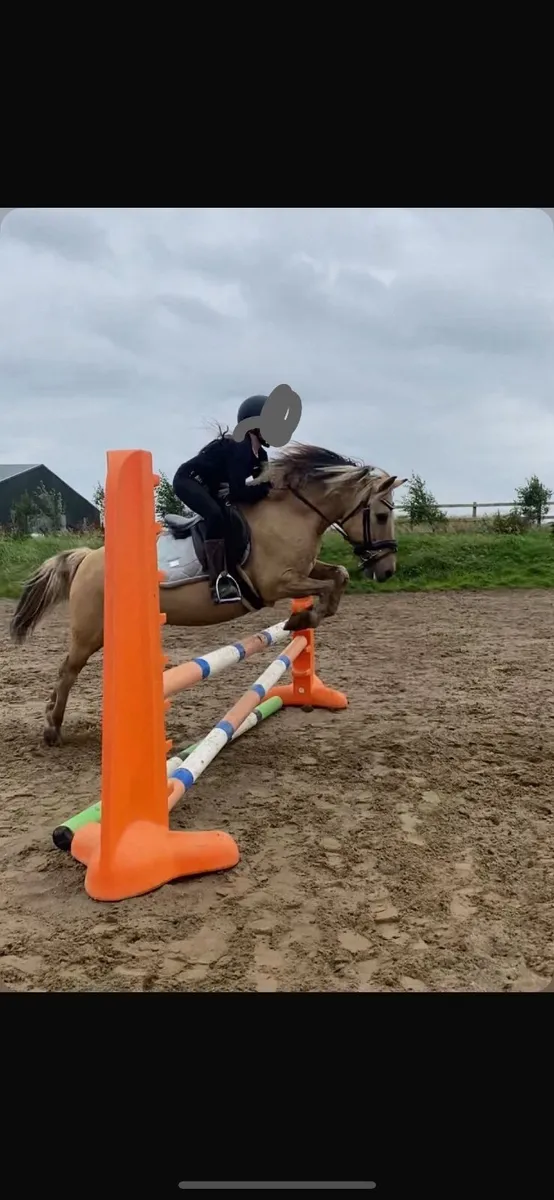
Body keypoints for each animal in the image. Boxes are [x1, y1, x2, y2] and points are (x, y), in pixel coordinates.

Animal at [10, 444, 405, 745]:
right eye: (381, 515)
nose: (387, 571)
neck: (291, 513)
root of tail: (87, 557)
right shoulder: (277, 583)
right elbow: (324, 588)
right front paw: (302, 617)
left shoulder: (303, 570)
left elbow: (338, 576)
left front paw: (302, 619)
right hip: (90, 632)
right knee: (67, 670)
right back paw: (52, 728)